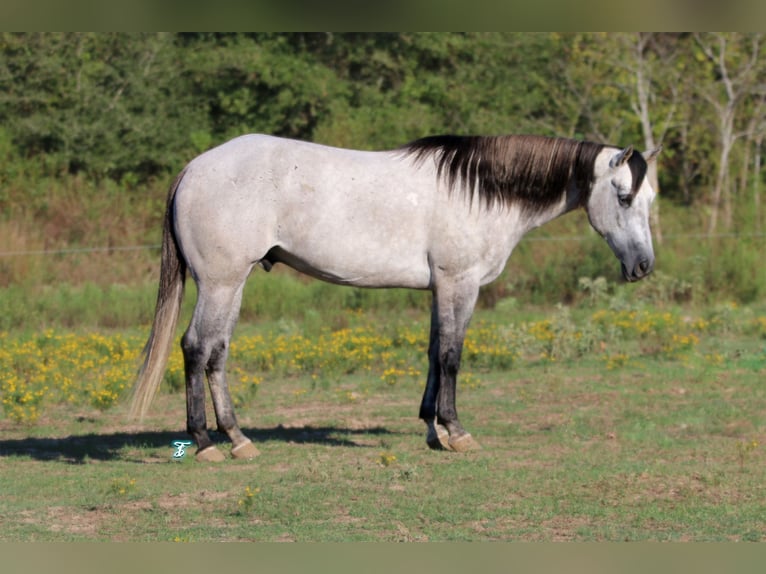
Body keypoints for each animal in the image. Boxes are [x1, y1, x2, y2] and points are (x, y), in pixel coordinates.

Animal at [130, 133, 661, 462]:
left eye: (650, 199)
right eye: (624, 197)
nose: (643, 267)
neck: (480, 192)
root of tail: (193, 168)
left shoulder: (439, 288)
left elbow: (433, 352)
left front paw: (432, 430)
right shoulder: (459, 284)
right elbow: (452, 355)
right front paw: (457, 432)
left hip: (233, 283)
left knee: (217, 353)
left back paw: (238, 439)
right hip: (220, 282)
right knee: (196, 348)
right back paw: (205, 443)